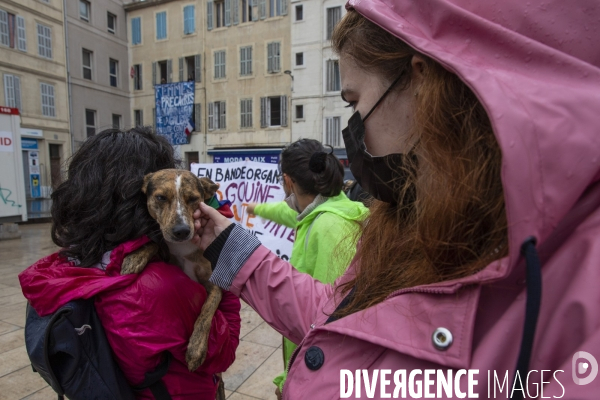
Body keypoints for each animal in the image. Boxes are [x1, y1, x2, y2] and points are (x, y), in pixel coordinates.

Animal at [121, 169, 227, 396]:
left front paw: (196, 350)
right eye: (161, 197)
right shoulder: (168, 252)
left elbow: (206, 312)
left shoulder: (214, 285)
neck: (185, 248)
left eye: (193, 199)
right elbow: (157, 243)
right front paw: (135, 257)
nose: (181, 231)